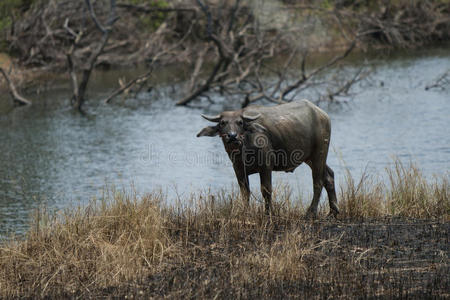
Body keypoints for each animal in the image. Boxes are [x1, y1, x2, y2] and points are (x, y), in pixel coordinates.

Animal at [197, 100, 338, 218]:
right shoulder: (238, 169)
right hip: (310, 158)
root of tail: (323, 115)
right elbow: (245, 192)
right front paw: (245, 212)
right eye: (222, 123)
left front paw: (268, 213)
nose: (232, 136)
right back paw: (333, 211)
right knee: (329, 176)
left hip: (319, 153)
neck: (244, 149)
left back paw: (311, 212)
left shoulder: (266, 166)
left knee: (318, 182)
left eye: (240, 122)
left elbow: (266, 190)